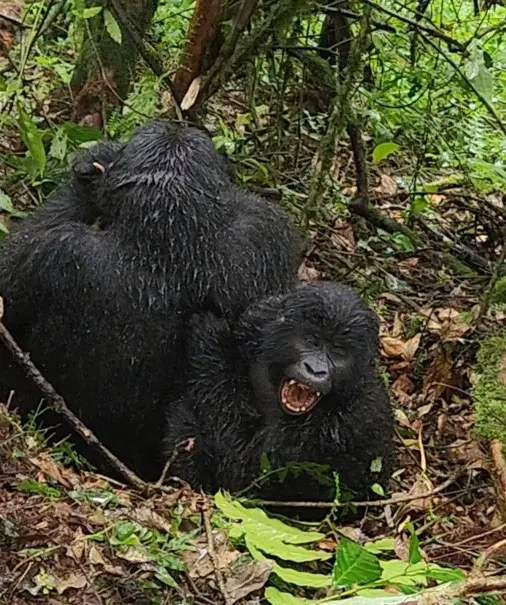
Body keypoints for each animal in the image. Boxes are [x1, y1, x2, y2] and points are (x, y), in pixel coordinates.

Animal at [164, 280, 394, 502]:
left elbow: (239, 469)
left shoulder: (347, 425)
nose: (315, 369)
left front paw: (208, 332)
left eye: (338, 352)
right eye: (311, 340)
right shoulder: (259, 318)